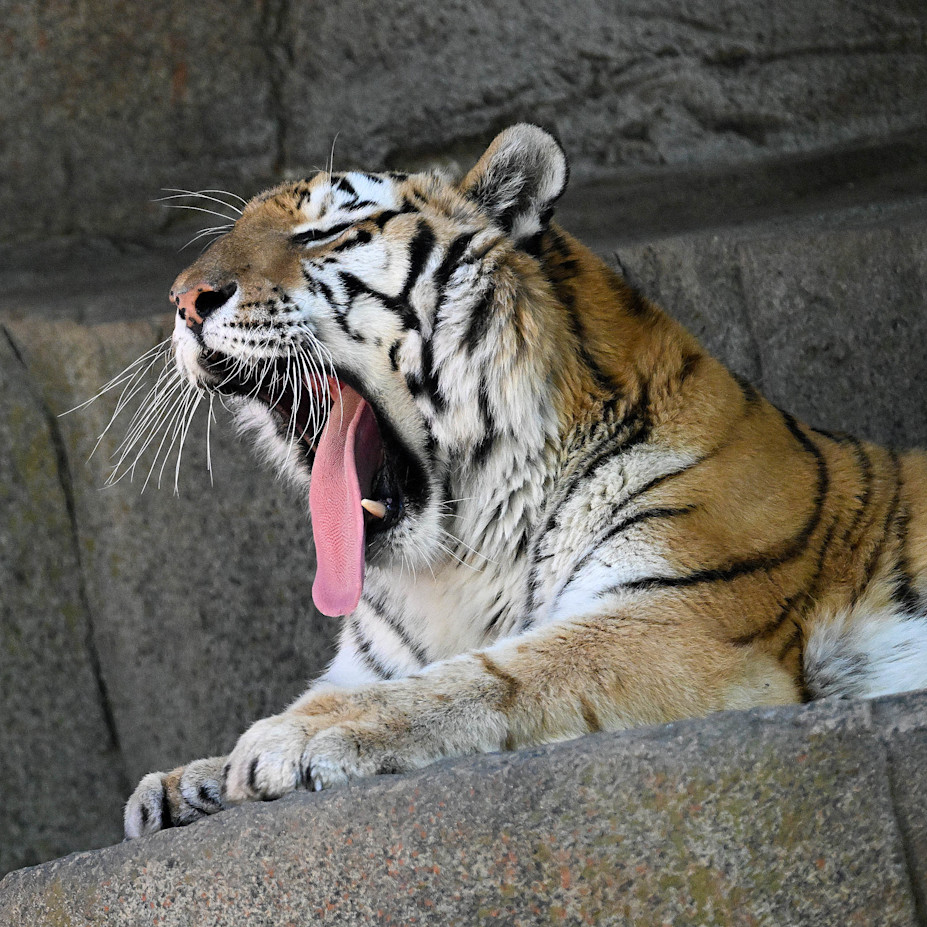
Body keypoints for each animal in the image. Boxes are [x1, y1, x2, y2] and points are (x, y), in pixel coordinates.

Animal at [123, 124, 927, 838]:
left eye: (322, 234)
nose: (184, 300)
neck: (451, 559)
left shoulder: (678, 616)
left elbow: (488, 675)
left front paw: (286, 738)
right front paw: (181, 781)